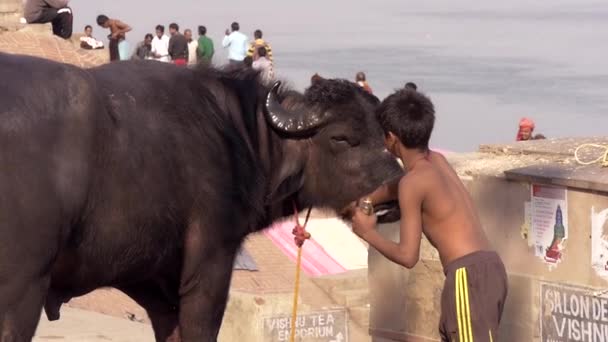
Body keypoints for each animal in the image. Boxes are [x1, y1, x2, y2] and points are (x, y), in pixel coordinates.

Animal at [0, 52, 402, 340]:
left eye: (382, 132)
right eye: (342, 138)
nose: (396, 186)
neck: (238, 133)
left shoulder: (155, 280)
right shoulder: (211, 259)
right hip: (22, 288)